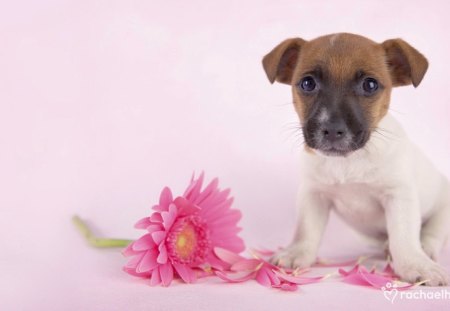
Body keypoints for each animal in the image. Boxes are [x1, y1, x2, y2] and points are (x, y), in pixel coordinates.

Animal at [264, 33, 450, 288]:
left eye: (370, 85)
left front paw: (415, 264)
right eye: (307, 83)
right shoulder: (314, 195)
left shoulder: (398, 196)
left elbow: (403, 236)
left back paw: (425, 249)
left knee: (432, 233)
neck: (349, 161)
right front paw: (297, 252)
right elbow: (307, 230)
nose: (332, 130)